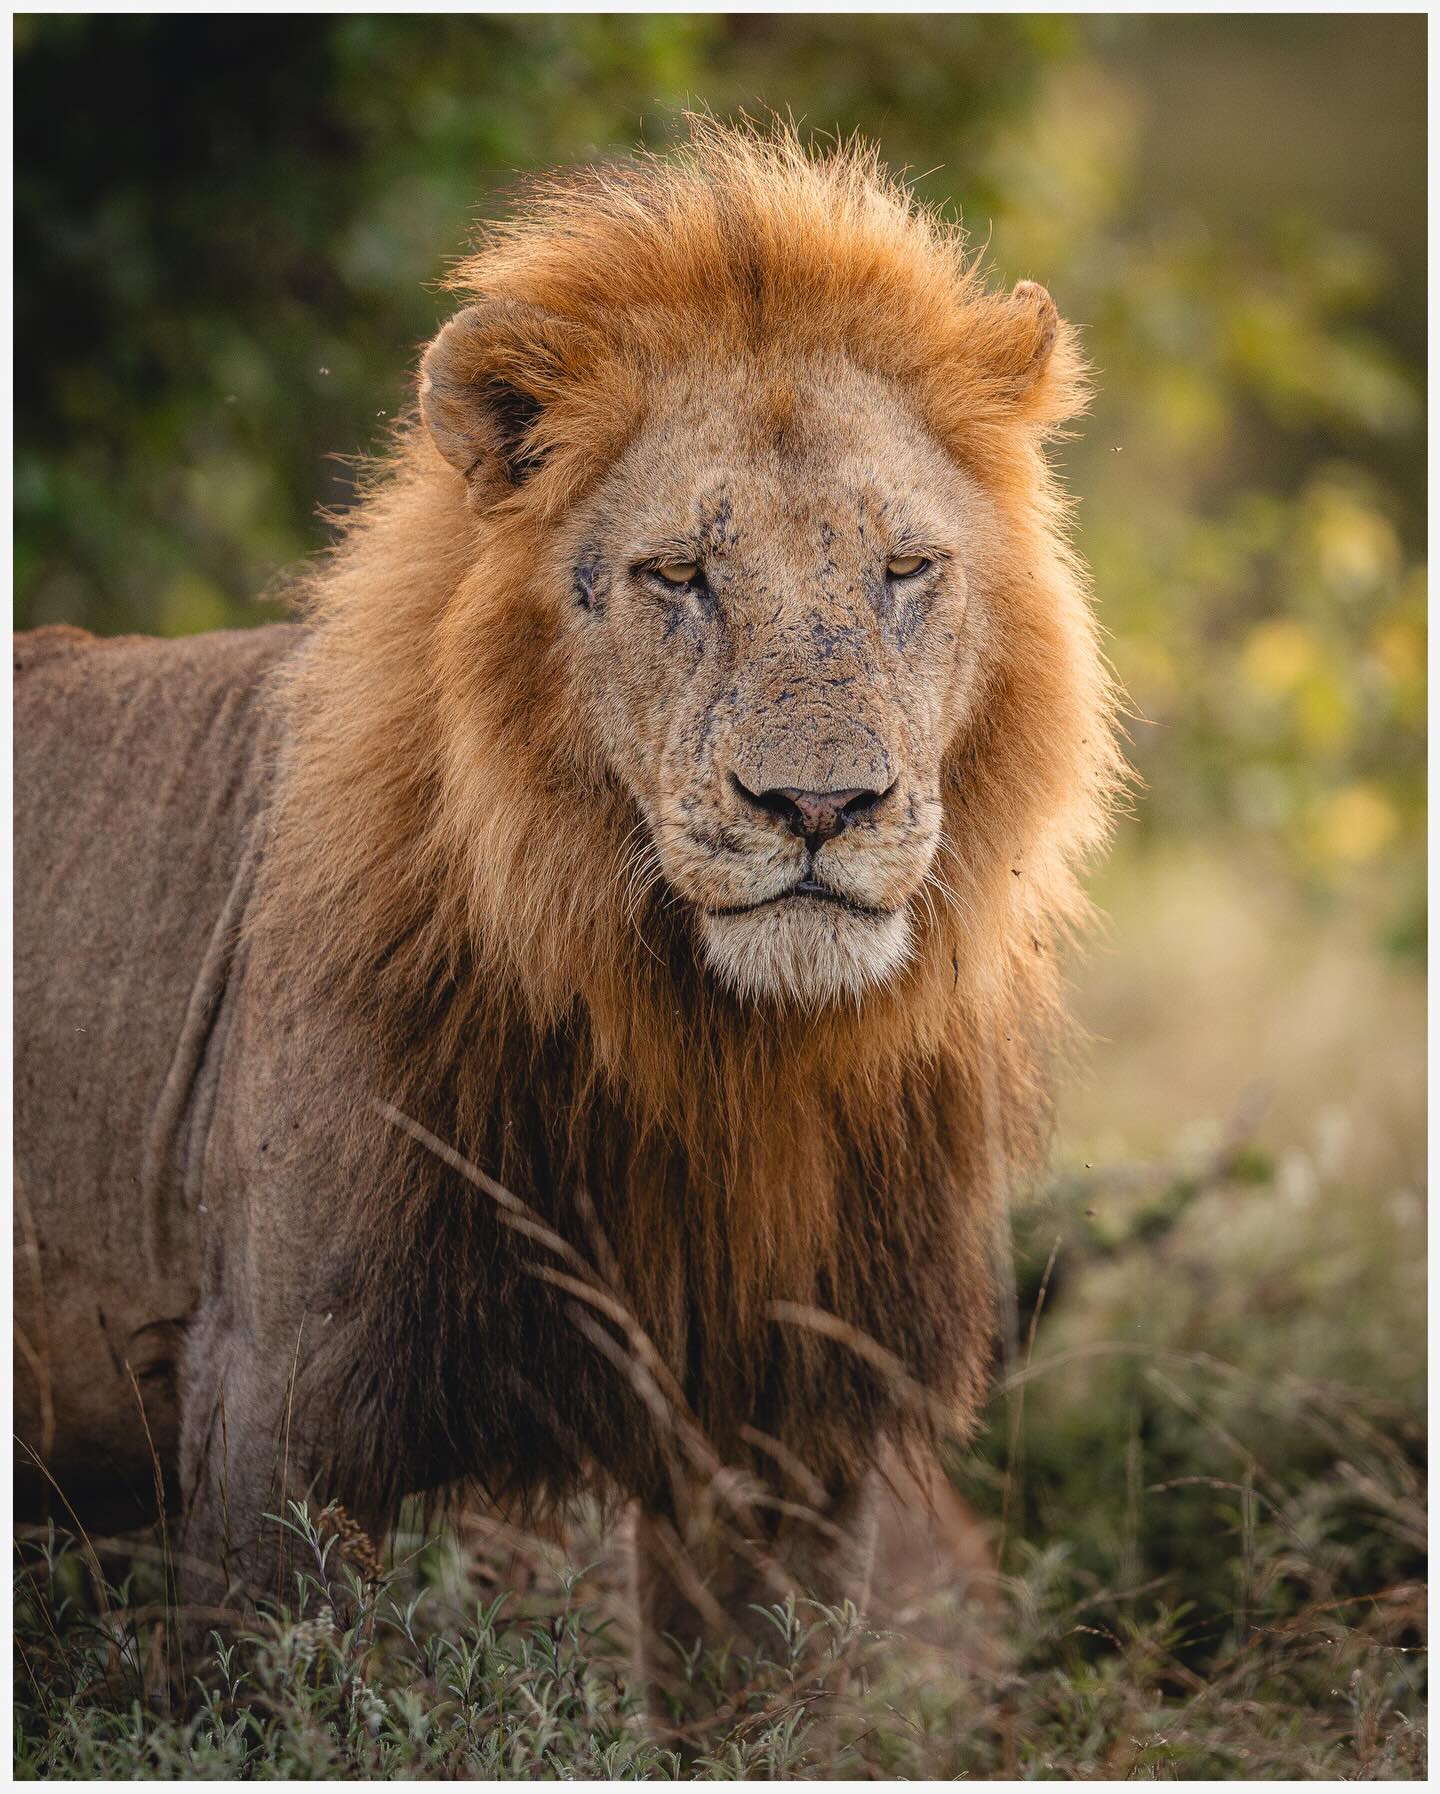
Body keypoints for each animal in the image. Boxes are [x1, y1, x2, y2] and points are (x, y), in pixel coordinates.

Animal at [15, 119, 1121, 1699]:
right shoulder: (278, 1403)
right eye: (680, 575)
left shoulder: (788, 1432)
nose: (820, 806)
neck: (725, 1056)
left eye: (905, 568)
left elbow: (768, 1704)